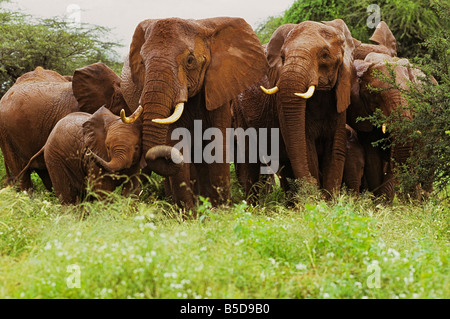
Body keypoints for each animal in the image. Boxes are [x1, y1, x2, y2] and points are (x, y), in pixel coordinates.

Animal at [118, 16, 268, 209]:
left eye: (190, 61)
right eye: (142, 63)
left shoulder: (219, 86)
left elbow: (217, 140)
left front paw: (220, 209)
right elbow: (177, 140)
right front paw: (189, 212)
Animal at [232, 18, 356, 199]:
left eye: (325, 55)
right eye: (283, 57)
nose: (312, 187)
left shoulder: (340, 96)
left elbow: (335, 150)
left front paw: (329, 201)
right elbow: (306, 148)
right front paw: (316, 200)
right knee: (250, 160)